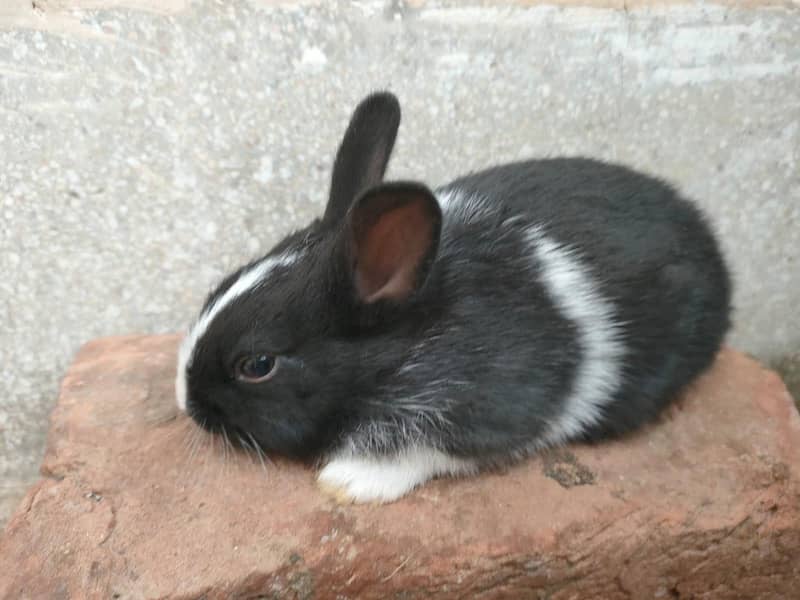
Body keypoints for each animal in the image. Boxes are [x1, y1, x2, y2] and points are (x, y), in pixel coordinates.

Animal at [175, 91, 731, 503]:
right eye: (217, 288)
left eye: (258, 364)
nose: (186, 402)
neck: (414, 337)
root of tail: (711, 244)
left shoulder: (489, 409)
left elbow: (427, 449)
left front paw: (348, 482)